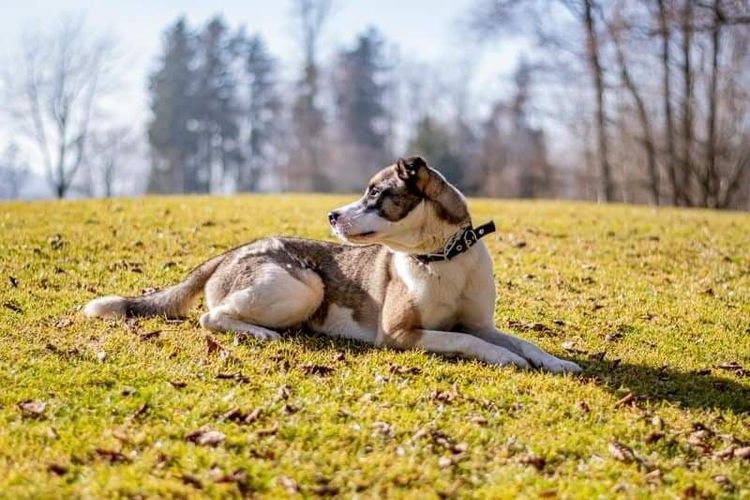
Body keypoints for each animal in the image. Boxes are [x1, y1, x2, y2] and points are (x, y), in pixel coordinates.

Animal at [85, 155, 584, 372]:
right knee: (211, 317)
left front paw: (555, 361)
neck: (442, 257)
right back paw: (261, 333)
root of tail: (231, 251)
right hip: (305, 286)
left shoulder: (480, 322)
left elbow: (518, 340)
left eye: (375, 193)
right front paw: (507, 359)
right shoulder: (402, 334)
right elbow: (471, 343)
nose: (331, 215)